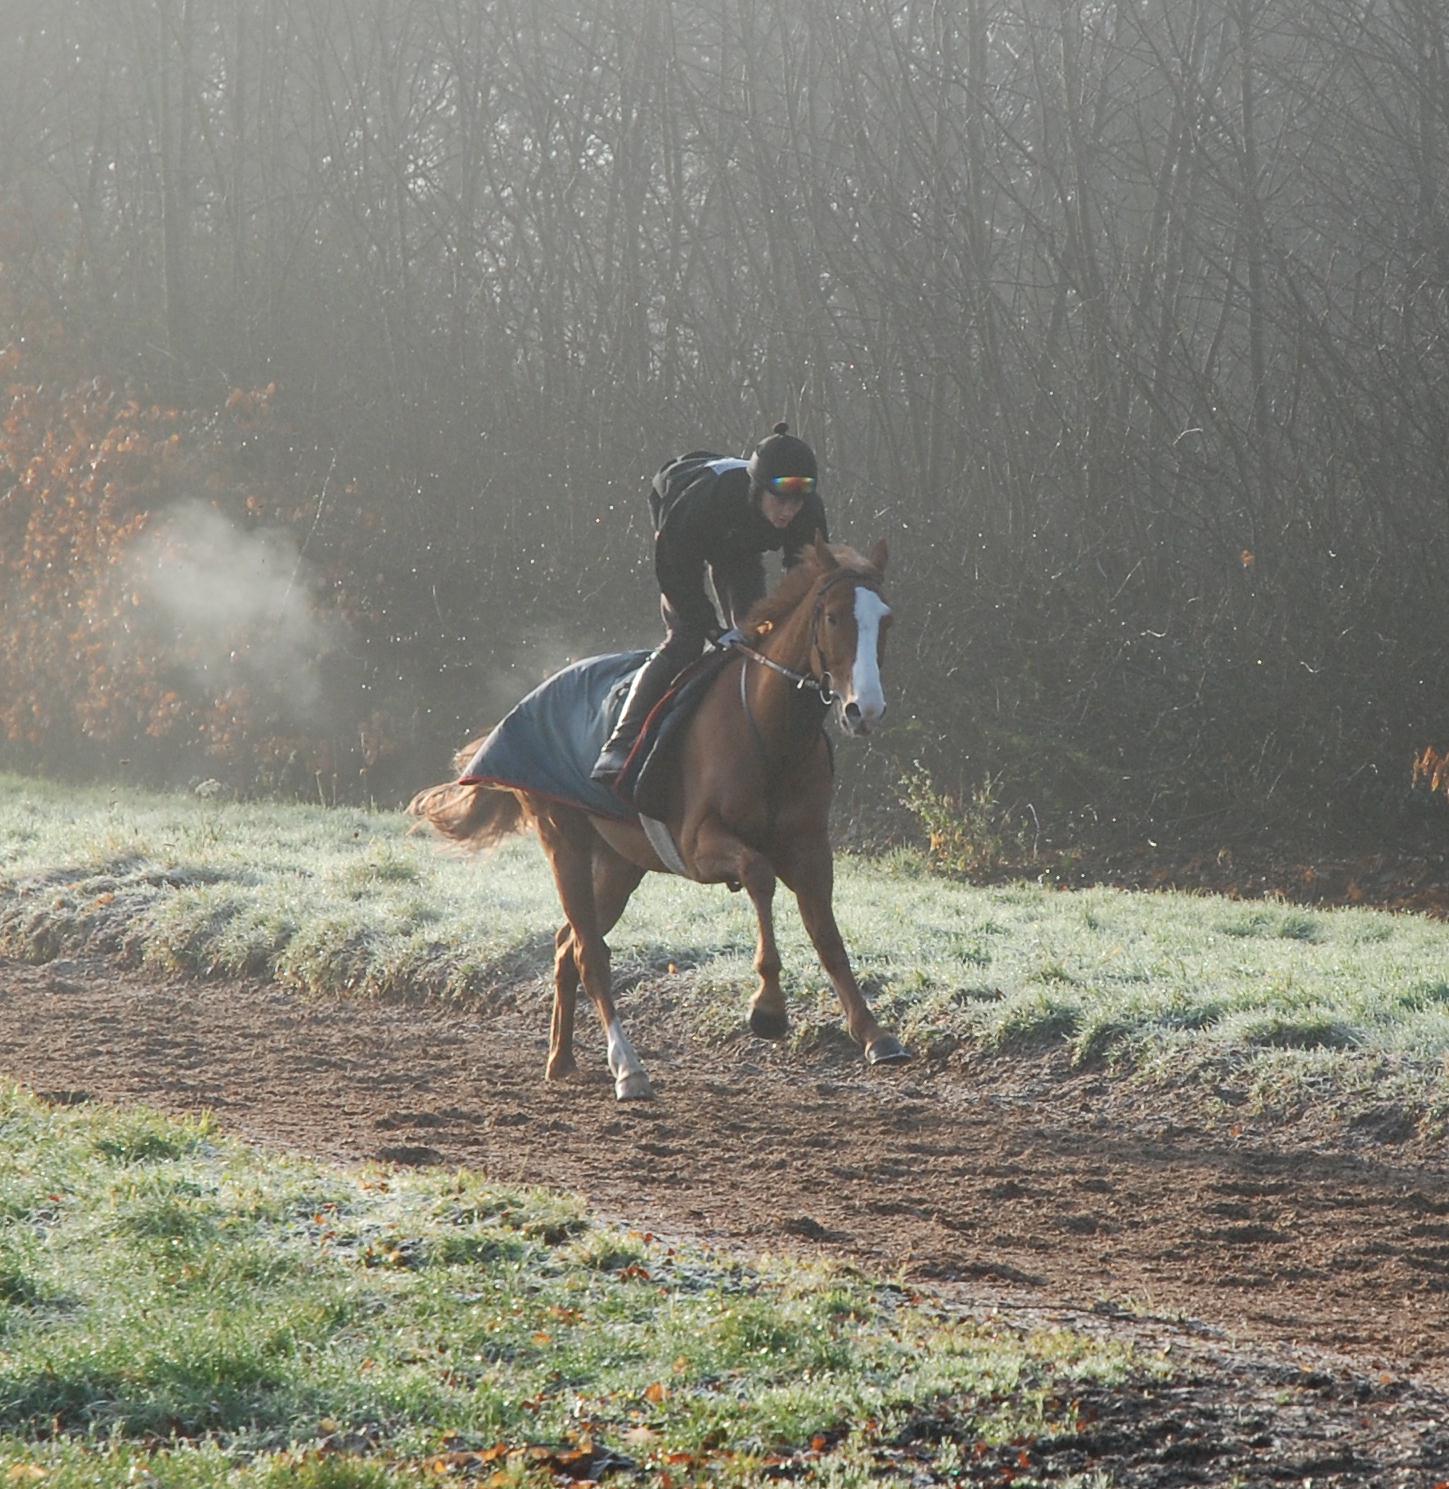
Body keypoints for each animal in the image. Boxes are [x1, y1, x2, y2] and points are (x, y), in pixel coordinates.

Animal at [408, 536, 905, 1095]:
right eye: (835, 617)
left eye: (885, 619)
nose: (865, 709)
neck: (768, 731)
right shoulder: (699, 844)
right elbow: (758, 874)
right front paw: (768, 1008)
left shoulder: (811, 847)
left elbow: (828, 937)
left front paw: (875, 1035)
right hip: (564, 839)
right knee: (590, 954)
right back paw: (628, 1066)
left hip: (620, 864)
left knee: (566, 944)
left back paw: (561, 1059)